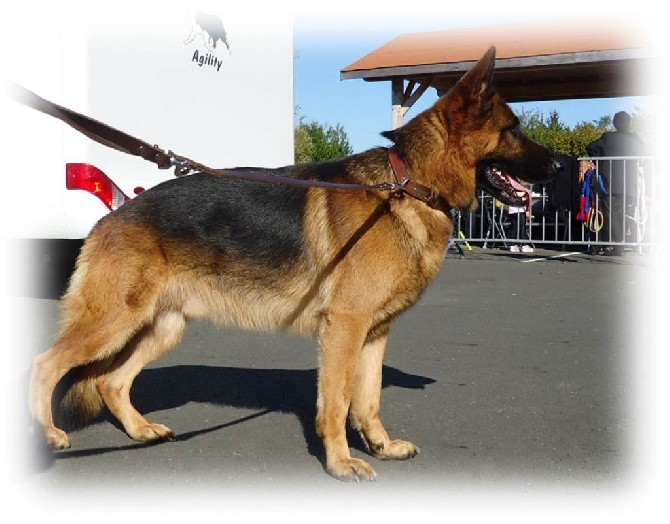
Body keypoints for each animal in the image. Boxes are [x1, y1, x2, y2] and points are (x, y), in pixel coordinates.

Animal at [27, 47, 560, 482]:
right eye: (513, 129)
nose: (560, 167)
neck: (408, 185)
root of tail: (112, 213)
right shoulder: (344, 328)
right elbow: (337, 402)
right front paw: (341, 463)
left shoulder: (373, 333)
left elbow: (369, 399)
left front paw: (381, 445)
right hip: (114, 321)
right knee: (45, 365)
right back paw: (48, 434)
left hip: (161, 327)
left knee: (111, 382)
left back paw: (140, 431)